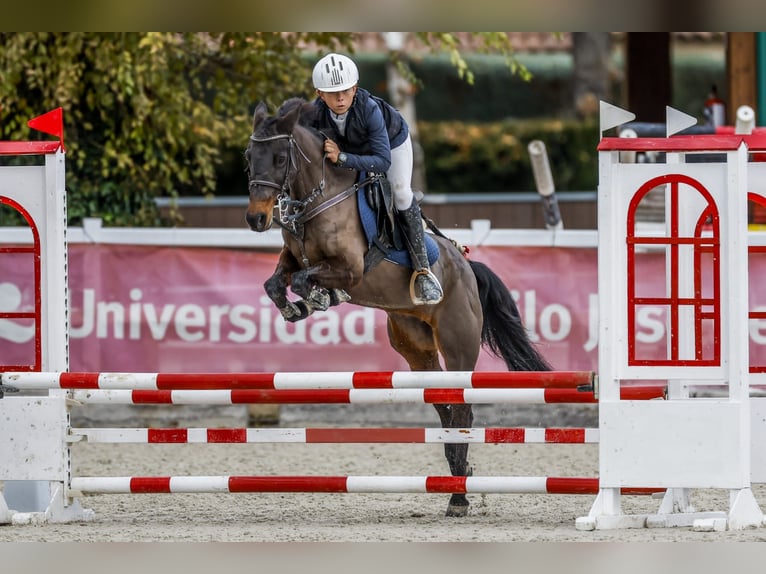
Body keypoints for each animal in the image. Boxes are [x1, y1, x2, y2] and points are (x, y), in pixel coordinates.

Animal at [244, 98, 552, 516]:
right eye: (248, 157)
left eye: (279, 158)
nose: (256, 218)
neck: (318, 200)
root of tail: (467, 269)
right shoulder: (293, 258)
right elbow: (277, 283)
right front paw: (296, 310)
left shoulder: (351, 269)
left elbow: (305, 280)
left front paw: (320, 298)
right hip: (416, 349)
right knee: (444, 407)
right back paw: (458, 481)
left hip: (458, 346)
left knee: (463, 409)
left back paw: (459, 496)